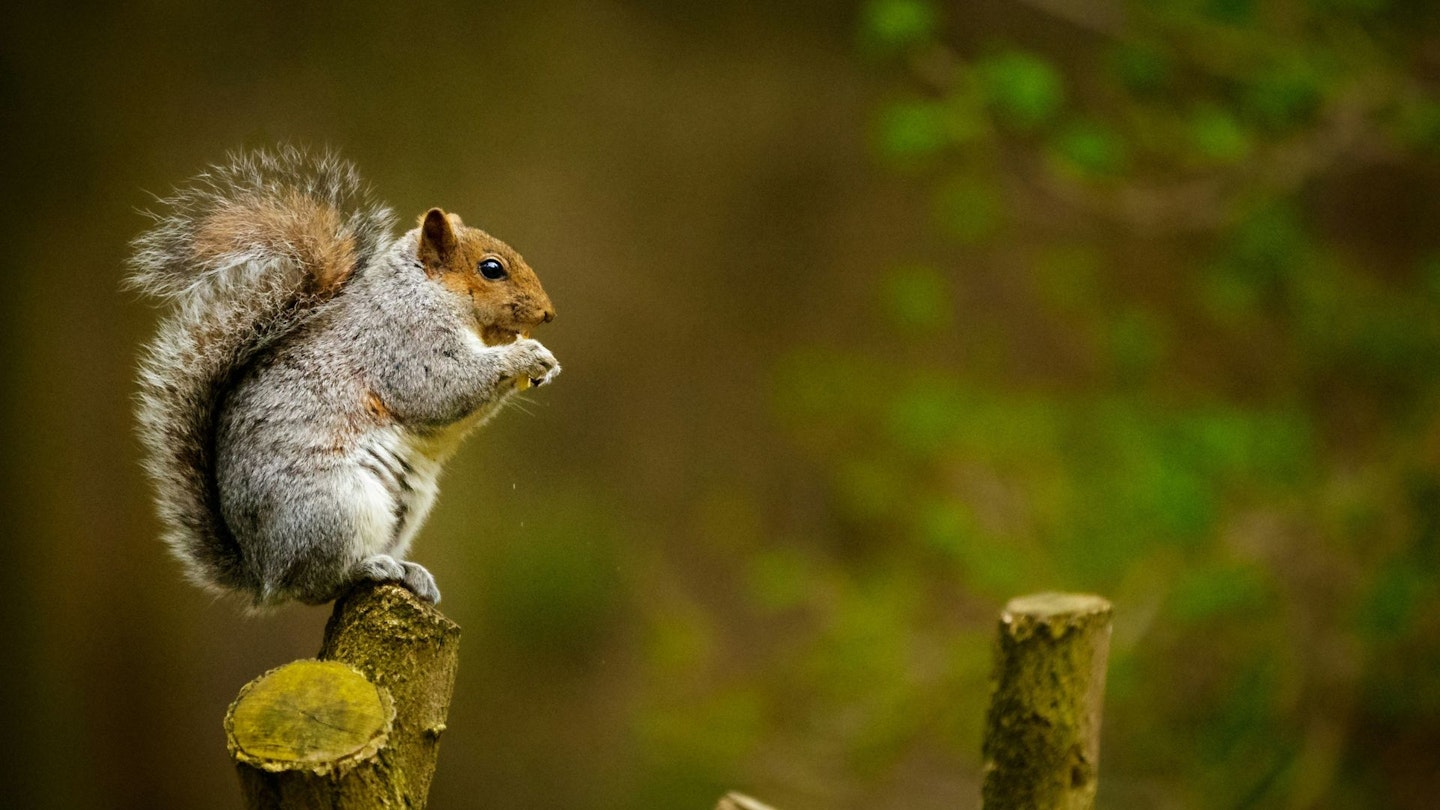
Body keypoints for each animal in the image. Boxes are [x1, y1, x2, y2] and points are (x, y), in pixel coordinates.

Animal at [129, 146, 558, 605]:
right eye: (491, 268)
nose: (548, 313)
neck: (424, 290)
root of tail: (262, 572)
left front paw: (543, 364)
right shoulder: (404, 343)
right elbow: (443, 387)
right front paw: (525, 355)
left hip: (405, 508)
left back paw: (410, 572)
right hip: (337, 506)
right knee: (315, 584)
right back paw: (369, 567)